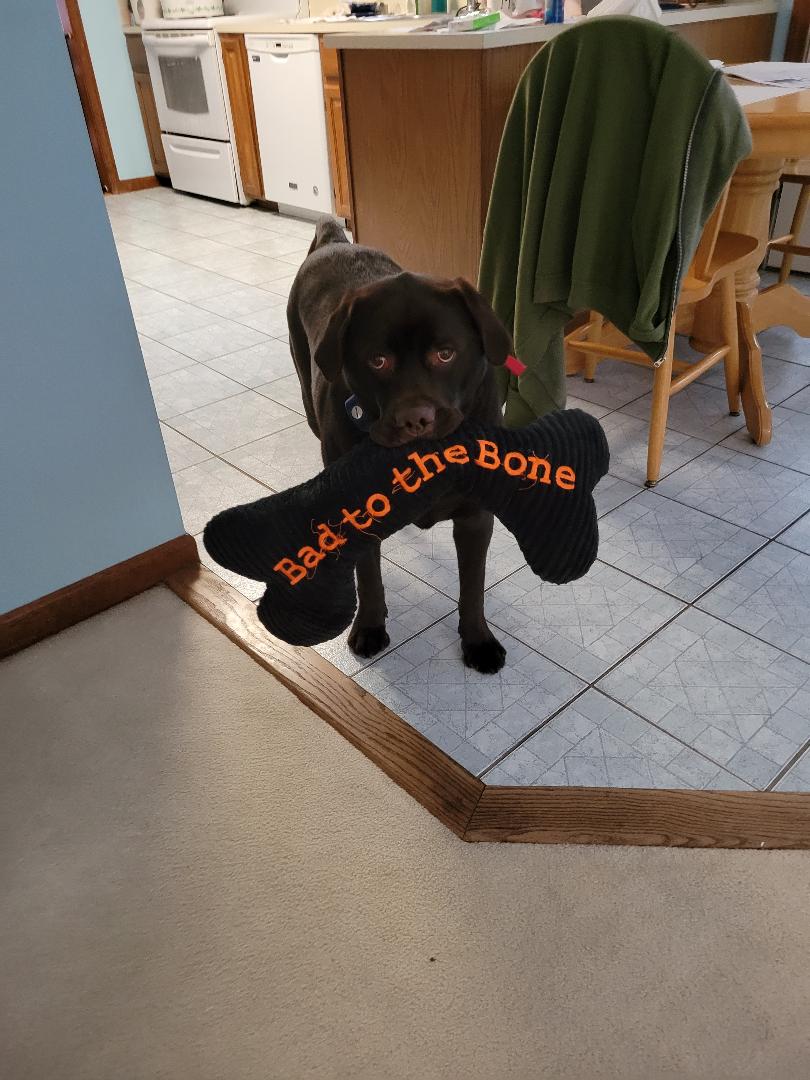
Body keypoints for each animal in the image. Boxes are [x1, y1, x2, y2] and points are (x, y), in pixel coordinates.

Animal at [287, 217, 513, 674]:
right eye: (378, 360)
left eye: (446, 353)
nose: (415, 420)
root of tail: (334, 241)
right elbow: (369, 578)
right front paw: (370, 626)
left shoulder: (475, 516)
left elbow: (473, 587)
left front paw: (477, 639)